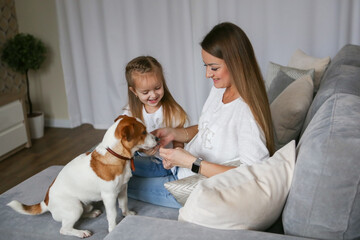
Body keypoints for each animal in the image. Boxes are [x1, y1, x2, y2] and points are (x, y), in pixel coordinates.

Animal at [6, 116, 158, 238]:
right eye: (143, 132)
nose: (157, 138)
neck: (115, 155)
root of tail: (46, 201)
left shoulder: (123, 188)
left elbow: (124, 204)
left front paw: (127, 214)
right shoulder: (109, 196)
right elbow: (112, 214)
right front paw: (114, 229)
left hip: (83, 205)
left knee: (81, 215)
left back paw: (92, 214)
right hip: (74, 208)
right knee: (64, 228)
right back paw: (81, 232)